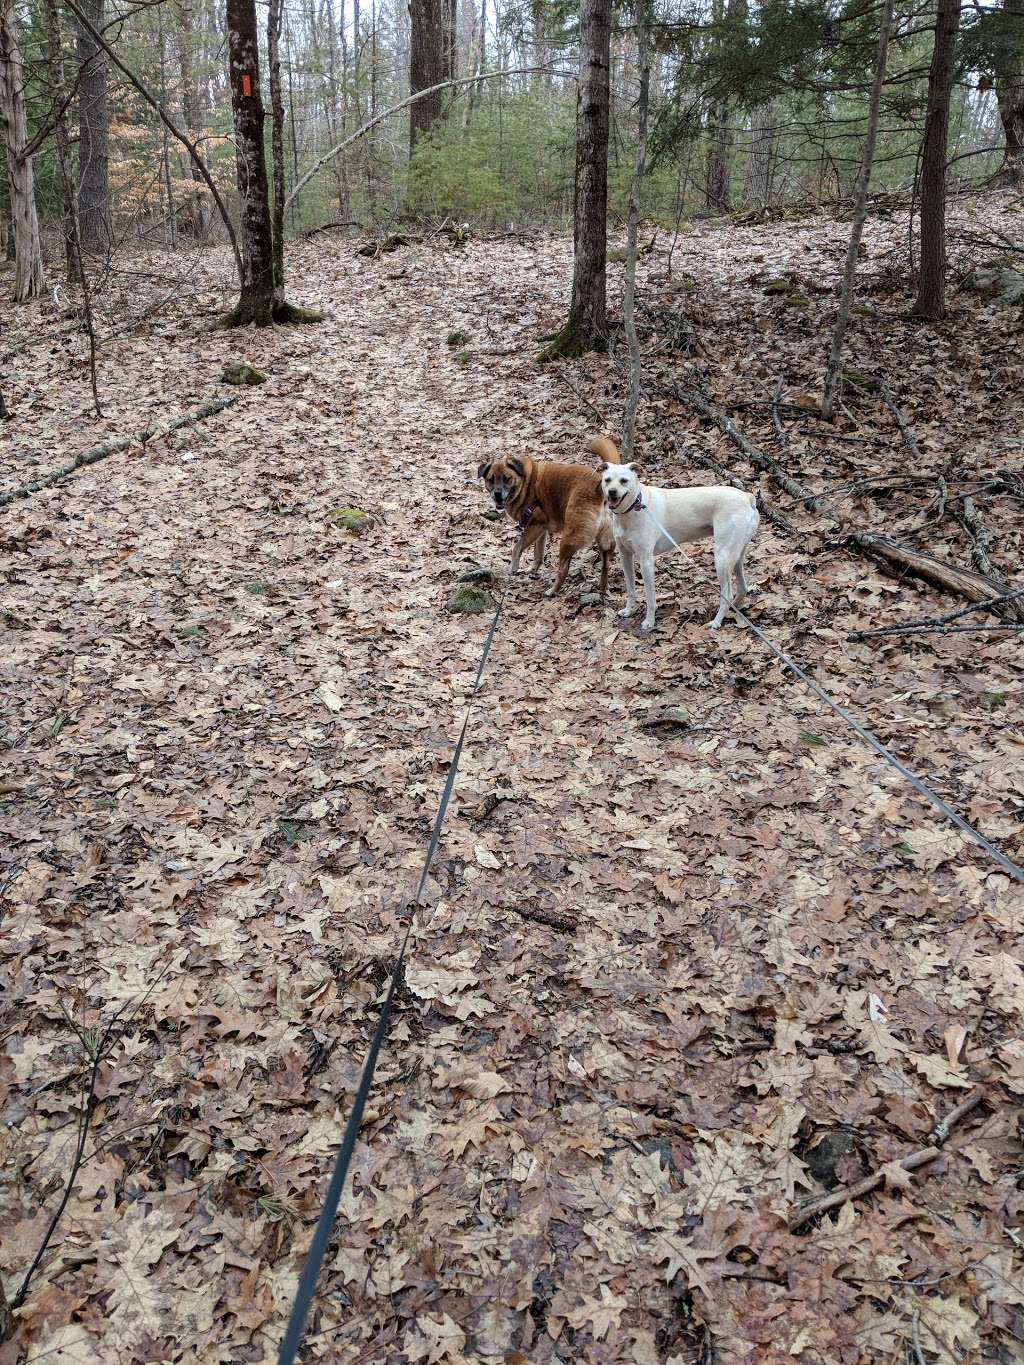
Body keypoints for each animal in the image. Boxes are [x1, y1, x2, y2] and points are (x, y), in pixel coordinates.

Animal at [480, 455, 614, 595]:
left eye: (507, 478)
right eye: (490, 479)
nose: (497, 494)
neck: (526, 484)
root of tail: (600, 488)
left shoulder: (534, 526)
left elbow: (517, 548)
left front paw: (513, 568)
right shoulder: (541, 529)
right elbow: (538, 554)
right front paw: (532, 570)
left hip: (569, 539)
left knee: (563, 569)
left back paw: (553, 591)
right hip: (605, 541)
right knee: (606, 565)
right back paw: (603, 588)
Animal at [592, 434, 764, 630]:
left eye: (624, 481)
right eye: (607, 480)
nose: (612, 492)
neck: (633, 509)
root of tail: (748, 497)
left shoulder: (646, 560)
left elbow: (650, 597)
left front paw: (649, 621)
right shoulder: (625, 556)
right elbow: (631, 588)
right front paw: (629, 611)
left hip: (722, 556)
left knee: (726, 593)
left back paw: (716, 622)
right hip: (736, 556)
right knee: (742, 588)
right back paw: (732, 610)